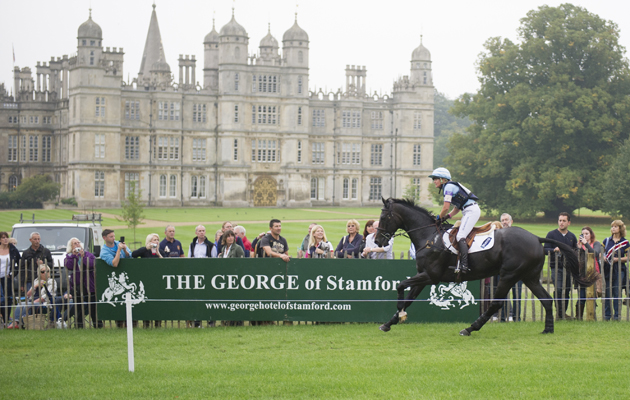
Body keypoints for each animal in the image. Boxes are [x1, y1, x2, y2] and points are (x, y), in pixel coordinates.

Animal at [378, 198, 600, 336]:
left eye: (383, 217)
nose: (379, 240)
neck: (429, 237)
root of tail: (536, 238)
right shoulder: (424, 276)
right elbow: (409, 297)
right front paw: (389, 323)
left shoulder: (430, 276)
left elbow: (401, 286)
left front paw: (399, 312)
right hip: (529, 277)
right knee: (546, 299)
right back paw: (548, 329)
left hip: (508, 275)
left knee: (496, 304)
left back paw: (469, 328)